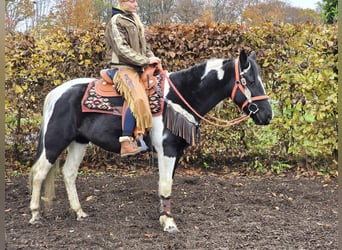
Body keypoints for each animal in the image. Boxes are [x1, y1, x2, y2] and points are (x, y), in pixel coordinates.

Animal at [28, 50, 272, 232]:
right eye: (249, 80)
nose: (267, 115)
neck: (178, 97)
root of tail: (55, 93)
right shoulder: (167, 149)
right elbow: (165, 184)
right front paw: (169, 223)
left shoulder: (176, 152)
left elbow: (166, 184)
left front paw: (164, 216)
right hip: (55, 141)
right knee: (39, 172)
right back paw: (35, 215)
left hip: (79, 142)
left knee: (69, 173)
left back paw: (79, 212)